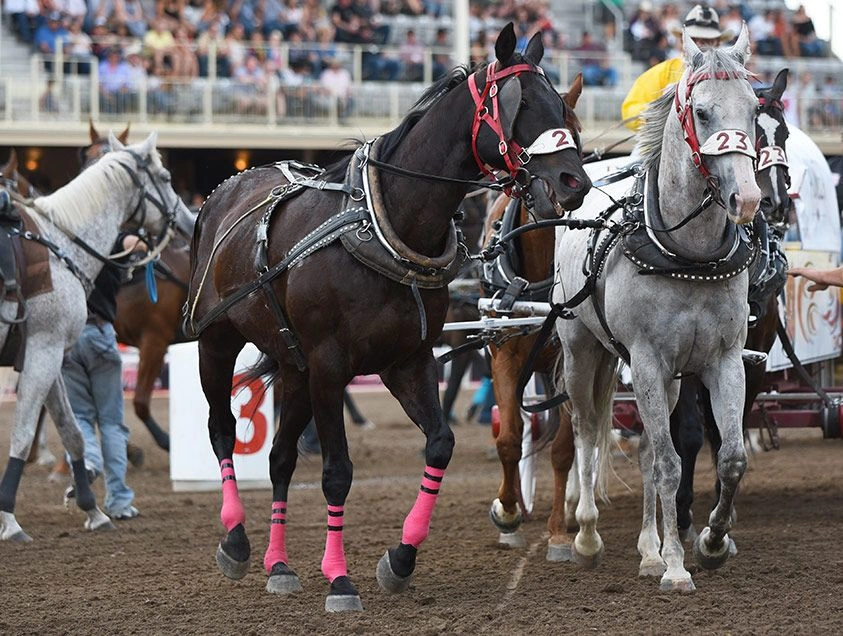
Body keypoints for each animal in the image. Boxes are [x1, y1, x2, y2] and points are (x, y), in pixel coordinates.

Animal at [0, 132, 189, 541]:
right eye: (166, 177)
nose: (188, 217)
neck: (59, 243)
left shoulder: (49, 351)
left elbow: (72, 431)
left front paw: (91, 506)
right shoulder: (45, 349)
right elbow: (24, 431)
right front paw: (8, 518)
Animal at [186, 23, 591, 611]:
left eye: (561, 105)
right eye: (521, 105)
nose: (573, 182)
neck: (387, 222)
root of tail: (231, 187)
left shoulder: (408, 361)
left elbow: (440, 444)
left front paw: (400, 559)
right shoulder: (330, 366)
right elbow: (336, 473)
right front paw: (339, 578)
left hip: (293, 366)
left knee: (281, 457)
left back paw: (279, 564)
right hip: (217, 343)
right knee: (222, 430)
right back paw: (237, 540)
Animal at [552, 27, 760, 592]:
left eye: (755, 108)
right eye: (703, 112)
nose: (748, 199)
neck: (689, 256)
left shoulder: (723, 361)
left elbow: (728, 458)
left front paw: (709, 543)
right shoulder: (646, 359)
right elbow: (669, 464)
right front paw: (676, 568)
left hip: (664, 380)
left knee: (647, 448)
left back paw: (650, 548)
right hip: (582, 351)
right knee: (585, 430)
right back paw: (586, 535)